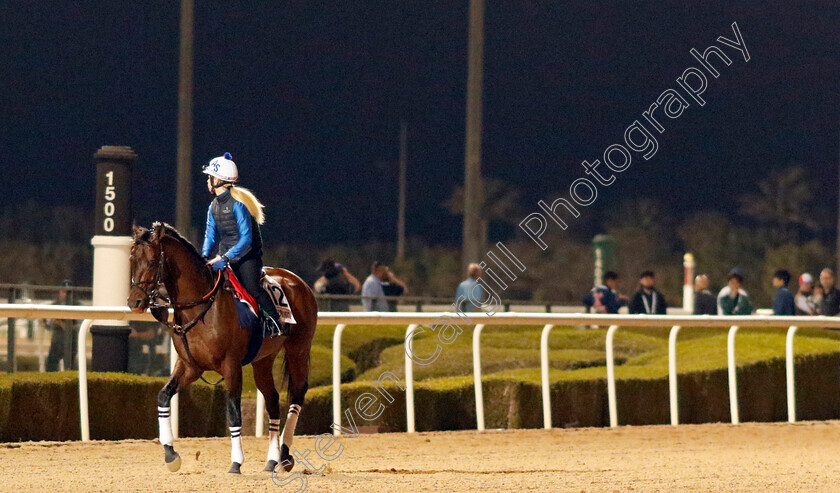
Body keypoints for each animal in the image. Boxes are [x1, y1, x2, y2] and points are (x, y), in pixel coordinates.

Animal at [128, 223, 318, 472]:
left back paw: (285, 455)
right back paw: (271, 460)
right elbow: (163, 396)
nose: (134, 302)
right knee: (273, 399)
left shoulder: (231, 366)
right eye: (131, 258)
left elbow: (233, 413)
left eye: (152, 261)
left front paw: (236, 462)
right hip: (262, 360)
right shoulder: (190, 366)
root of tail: (299, 282)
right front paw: (170, 454)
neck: (201, 306)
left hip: (298, 349)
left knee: (297, 393)